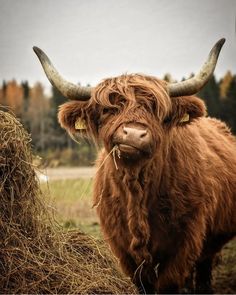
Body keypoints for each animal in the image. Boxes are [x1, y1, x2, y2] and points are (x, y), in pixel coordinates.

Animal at [33, 38, 236, 294]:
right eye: (109, 109)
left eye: (157, 110)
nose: (133, 134)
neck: (136, 189)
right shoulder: (123, 249)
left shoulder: (185, 242)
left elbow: (169, 283)